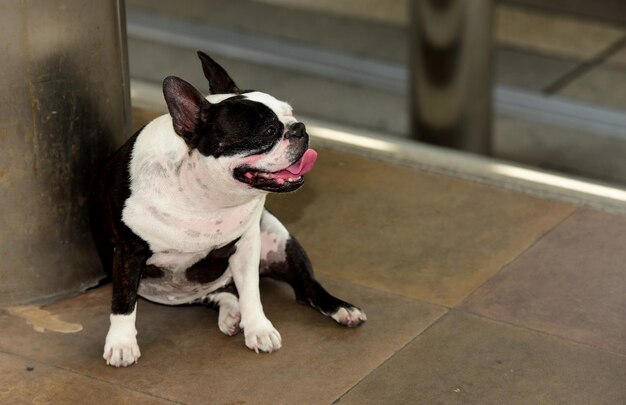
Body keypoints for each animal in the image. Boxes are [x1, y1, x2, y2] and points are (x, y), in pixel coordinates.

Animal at [90, 51, 368, 366]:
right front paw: (121, 343)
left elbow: (251, 292)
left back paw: (340, 308)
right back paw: (230, 312)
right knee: (220, 295)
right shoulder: (128, 253)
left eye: (291, 113)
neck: (205, 196)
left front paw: (259, 328)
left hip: (278, 238)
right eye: (269, 131)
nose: (300, 128)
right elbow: (123, 303)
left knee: (305, 288)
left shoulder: (247, 244)